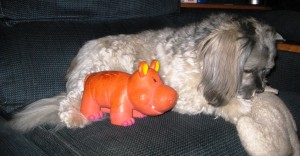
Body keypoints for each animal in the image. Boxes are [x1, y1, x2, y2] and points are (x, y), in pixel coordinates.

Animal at [8, 13, 298, 155]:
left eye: (269, 70)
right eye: (247, 70)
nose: (259, 90)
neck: (204, 55)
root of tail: (77, 62)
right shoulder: (183, 92)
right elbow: (209, 101)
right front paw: (237, 106)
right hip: (106, 66)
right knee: (73, 100)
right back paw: (76, 115)